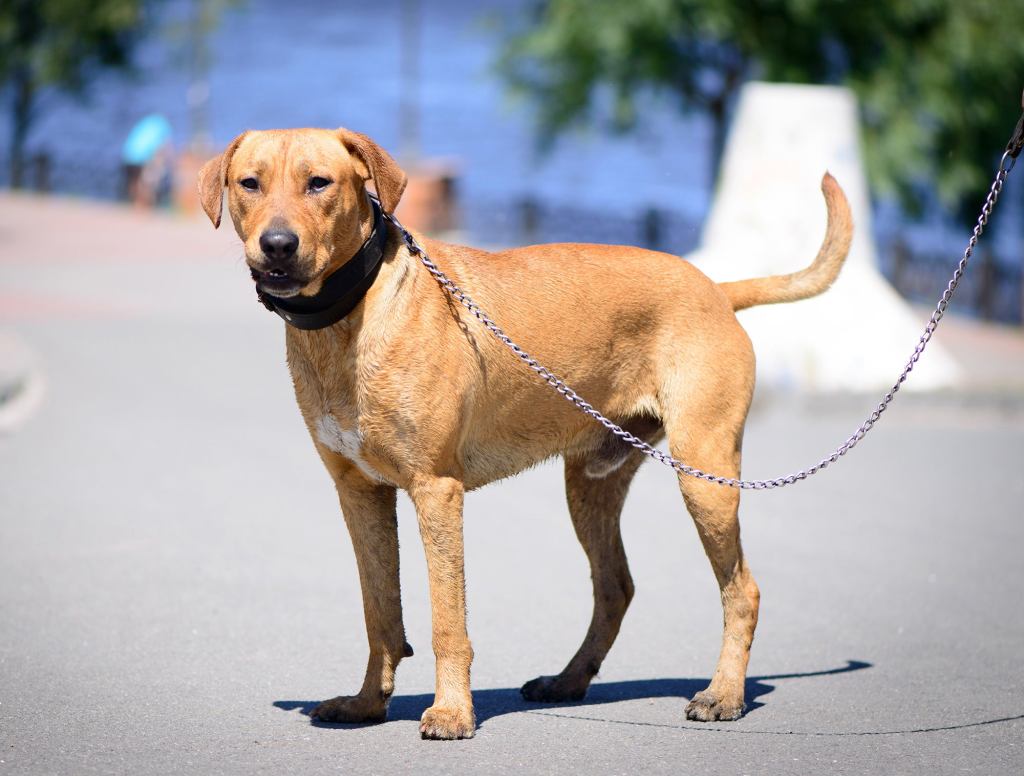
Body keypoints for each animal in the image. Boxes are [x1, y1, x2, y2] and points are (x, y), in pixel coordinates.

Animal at [197, 127, 847, 741]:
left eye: (320, 183)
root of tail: (717, 289)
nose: (277, 245)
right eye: (249, 183)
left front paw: (452, 713)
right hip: (591, 483)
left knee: (742, 591)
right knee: (615, 587)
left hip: (705, 474)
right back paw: (568, 680)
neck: (352, 313)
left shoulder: (436, 490)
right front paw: (365, 704)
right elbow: (379, 613)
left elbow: (446, 620)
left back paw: (723, 695)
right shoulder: (359, 493)